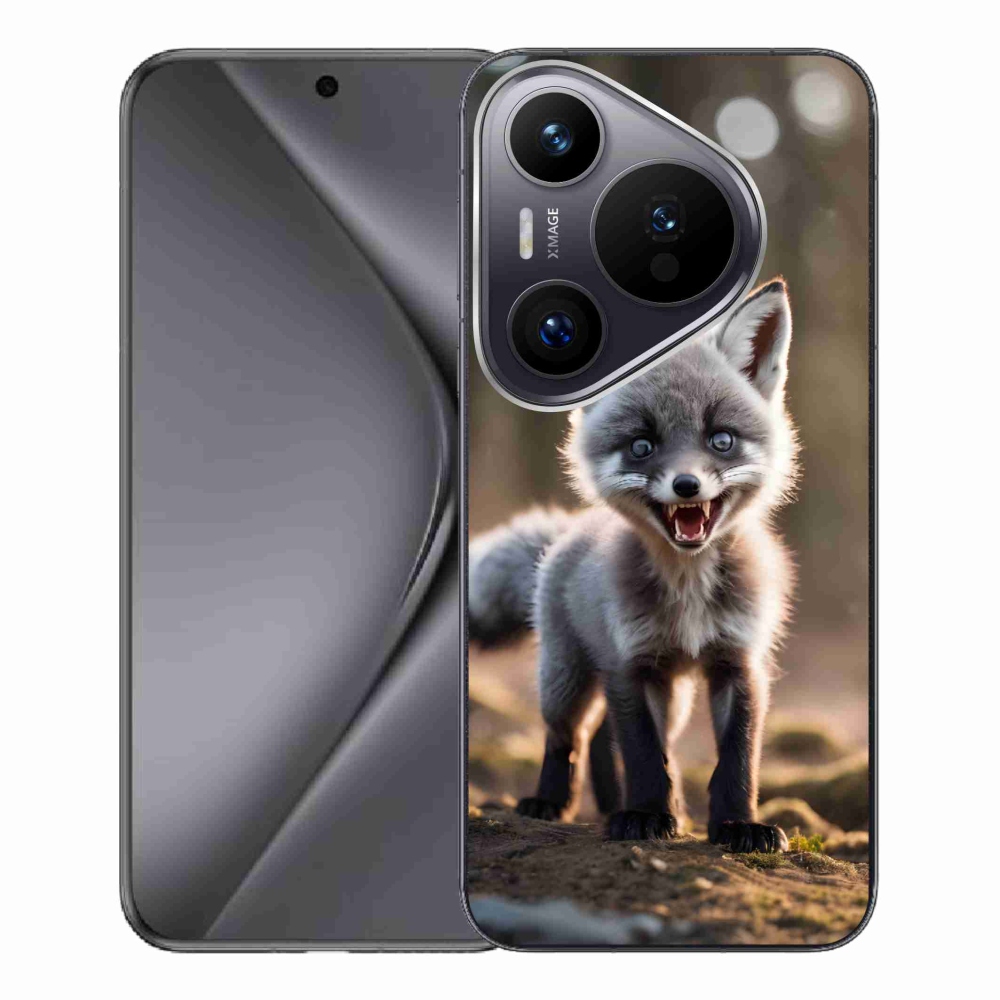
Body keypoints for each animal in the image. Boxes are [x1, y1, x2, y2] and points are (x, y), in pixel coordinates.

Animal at [469, 279, 799, 851]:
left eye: (721, 439)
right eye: (642, 446)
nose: (687, 485)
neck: (688, 591)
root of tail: (569, 530)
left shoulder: (739, 662)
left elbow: (736, 760)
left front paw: (738, 825)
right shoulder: (630, 662)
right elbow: (645, 755)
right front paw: (645, 815)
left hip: (673, 693)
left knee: (606, 736)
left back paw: (622, 805)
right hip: (566, 678)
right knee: (568, 735)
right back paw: (551, 803)